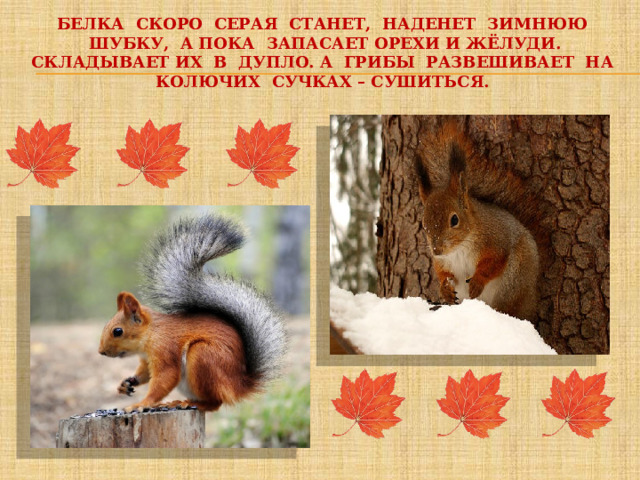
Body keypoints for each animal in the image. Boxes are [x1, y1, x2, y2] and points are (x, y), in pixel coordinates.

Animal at [98, 213, 286, 412]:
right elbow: (145, 373)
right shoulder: (146, 359)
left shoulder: (165, 349)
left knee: (215, 403)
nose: (101, 352)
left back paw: (189, 403)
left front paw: (141, 404)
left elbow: (165, 378)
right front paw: (126, 383)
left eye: (118, 331)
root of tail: (239, 386)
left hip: (202, 357)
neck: (150, 335)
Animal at [414, 121, 543, 321]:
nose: (436, 250)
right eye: (424, 224)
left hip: (514, 281)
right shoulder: (443, 261)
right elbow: (443, 273)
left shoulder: (497, 239)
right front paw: (445, 289)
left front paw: (477, 282)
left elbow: (493, 262)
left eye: (454, 219)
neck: (459, 247)